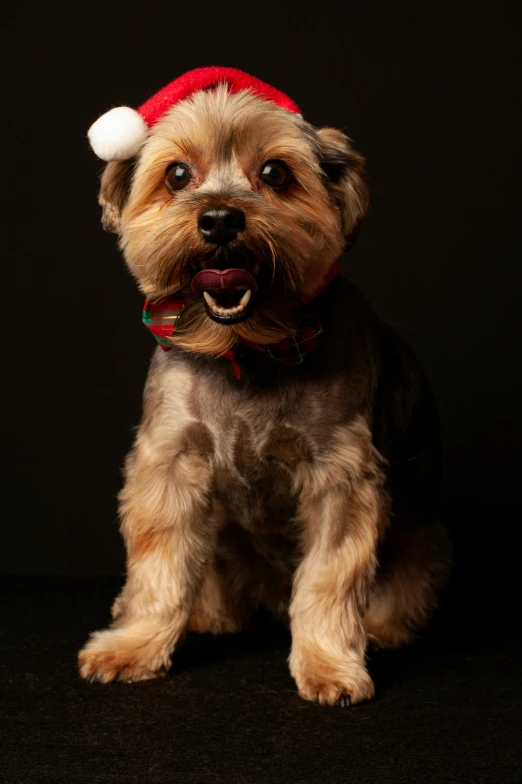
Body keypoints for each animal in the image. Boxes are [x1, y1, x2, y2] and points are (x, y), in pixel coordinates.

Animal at [79, 66, 448, 704]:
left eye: (275, 172)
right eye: (177, 174)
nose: (220, 219)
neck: (246, 350)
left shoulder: (340, 474)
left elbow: (329, 576)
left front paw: (329, 665)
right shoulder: (170, 461)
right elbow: (158, 567)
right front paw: (135, 644)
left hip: (416, 532)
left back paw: (382, 630)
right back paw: (206, 614)